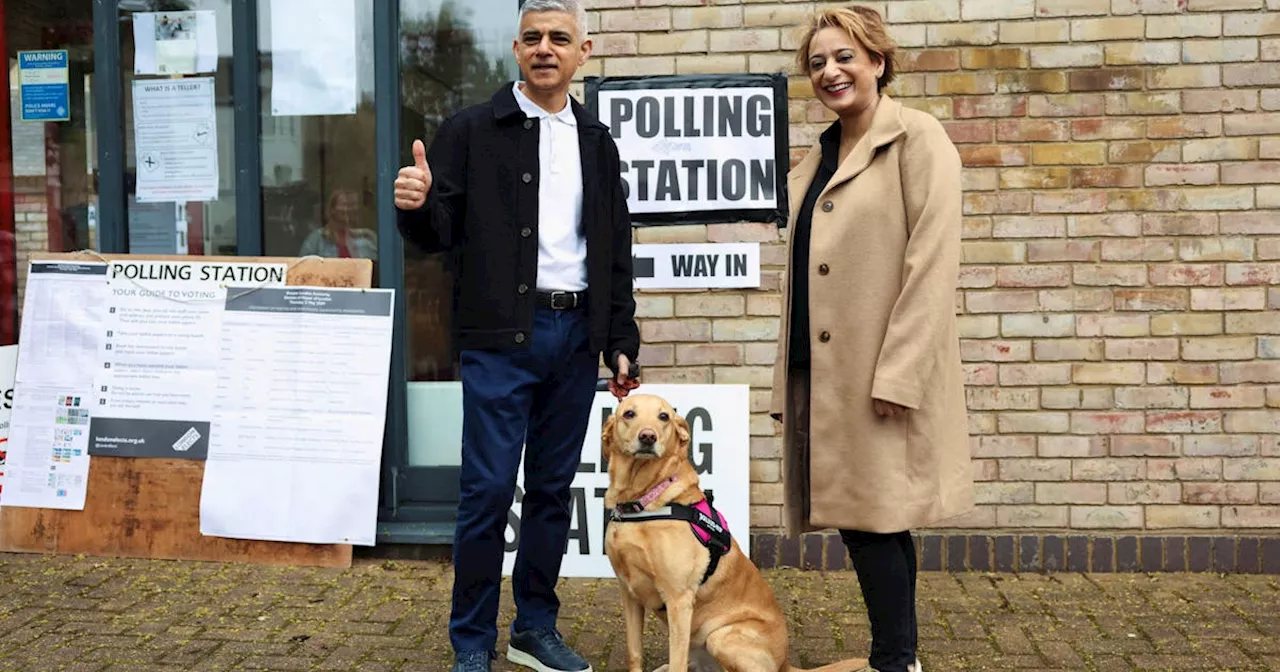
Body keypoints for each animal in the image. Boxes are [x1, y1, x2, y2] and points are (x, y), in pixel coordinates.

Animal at [601, 394, 870, 670]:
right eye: (629, 414)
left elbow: (677, 660)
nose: (647, 437)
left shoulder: (678, 600)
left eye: (663, 416)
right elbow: (634, 652)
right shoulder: (629, 593)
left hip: (722, 636)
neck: (640, 501)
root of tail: (785, 661)